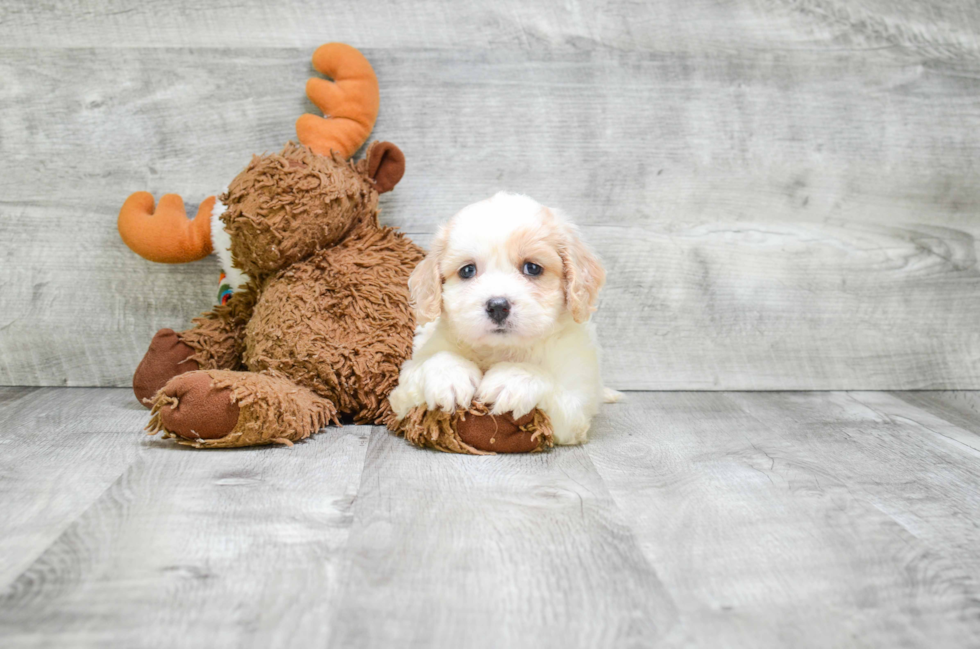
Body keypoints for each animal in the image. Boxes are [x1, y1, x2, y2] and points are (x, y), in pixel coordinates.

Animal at [386, 191, 616, 446]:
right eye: (468, 270)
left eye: (532, 268)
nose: (497, 306)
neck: (501, 349)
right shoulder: (401, 395)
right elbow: (433, 363)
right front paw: (449, 376)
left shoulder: (575, 410)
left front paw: (513, 378)